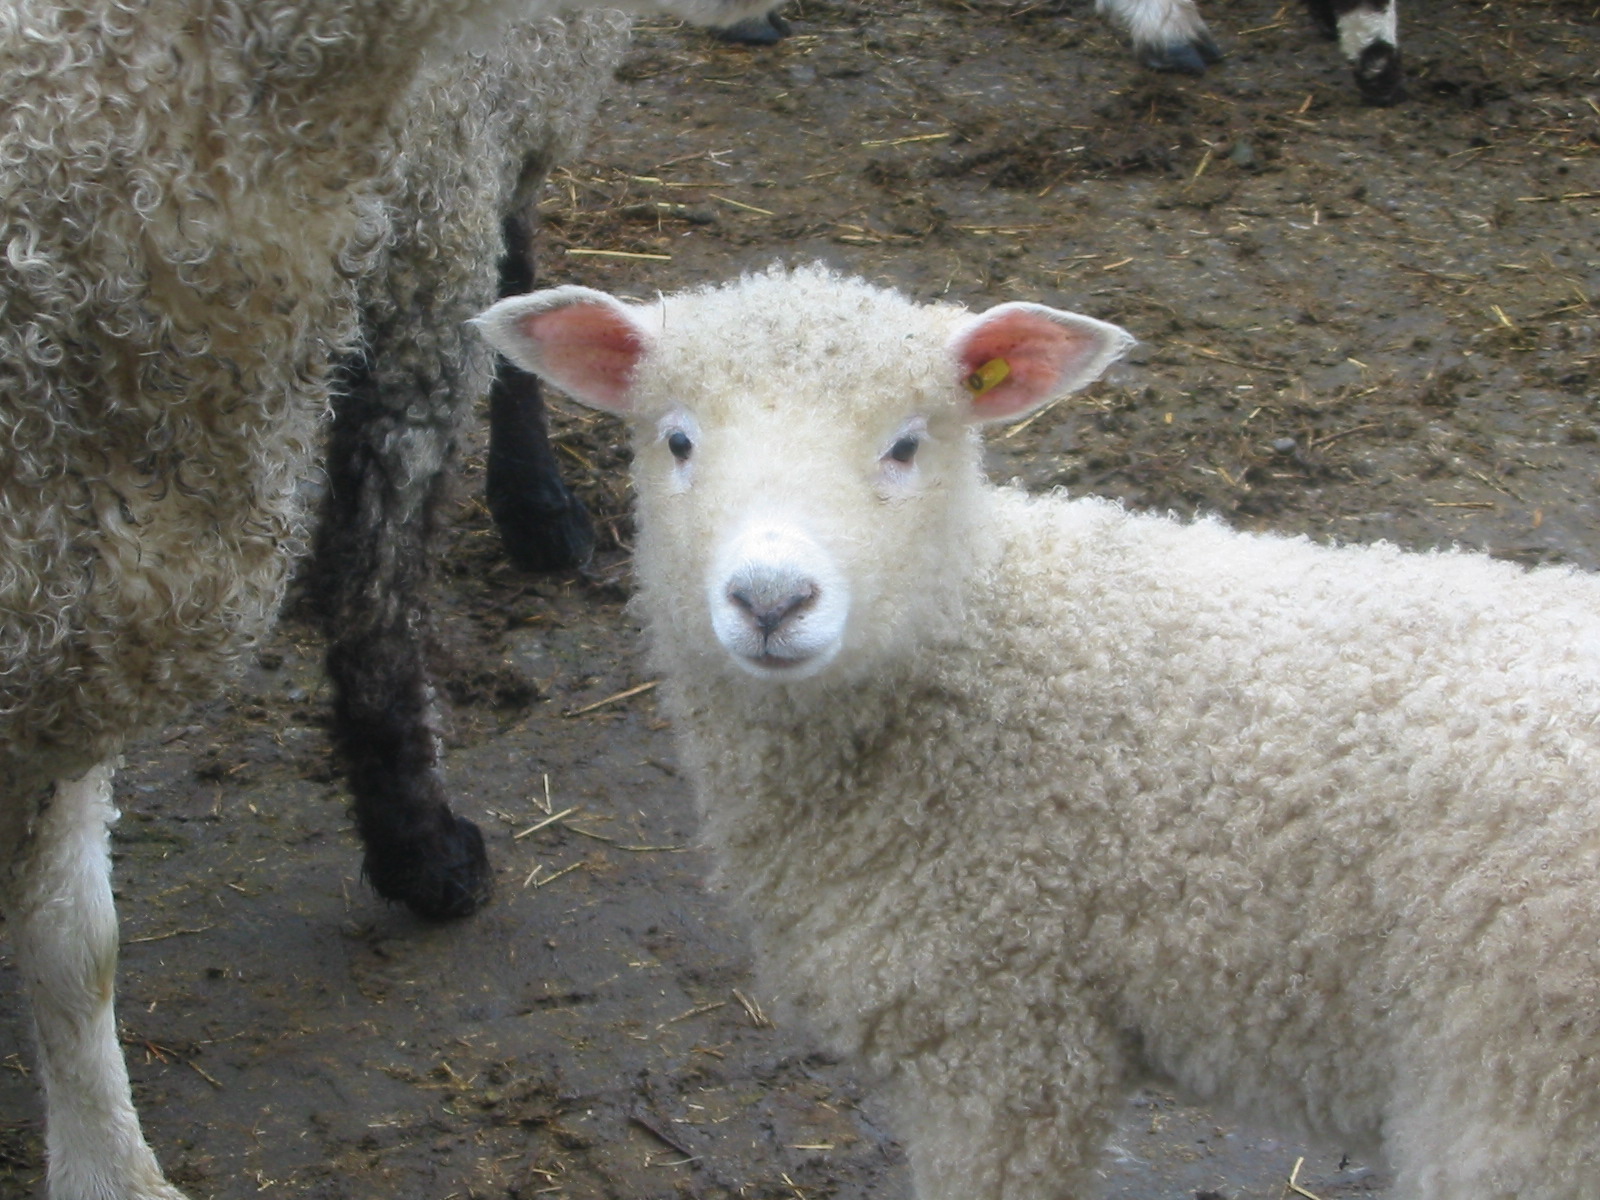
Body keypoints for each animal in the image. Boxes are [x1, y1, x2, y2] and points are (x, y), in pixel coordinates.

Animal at [0, 1, 768, 1197]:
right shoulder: (439, 197)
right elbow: (381, 561)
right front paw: (424, 846)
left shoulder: (92, 613)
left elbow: (76, 941)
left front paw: (108, 1168)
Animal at [475, 262, 1600, 1200]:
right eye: (676, 440)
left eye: (906, 444)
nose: (770, 599)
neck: (984, 649)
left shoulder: (1006, 1039)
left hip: (1515, 1092)